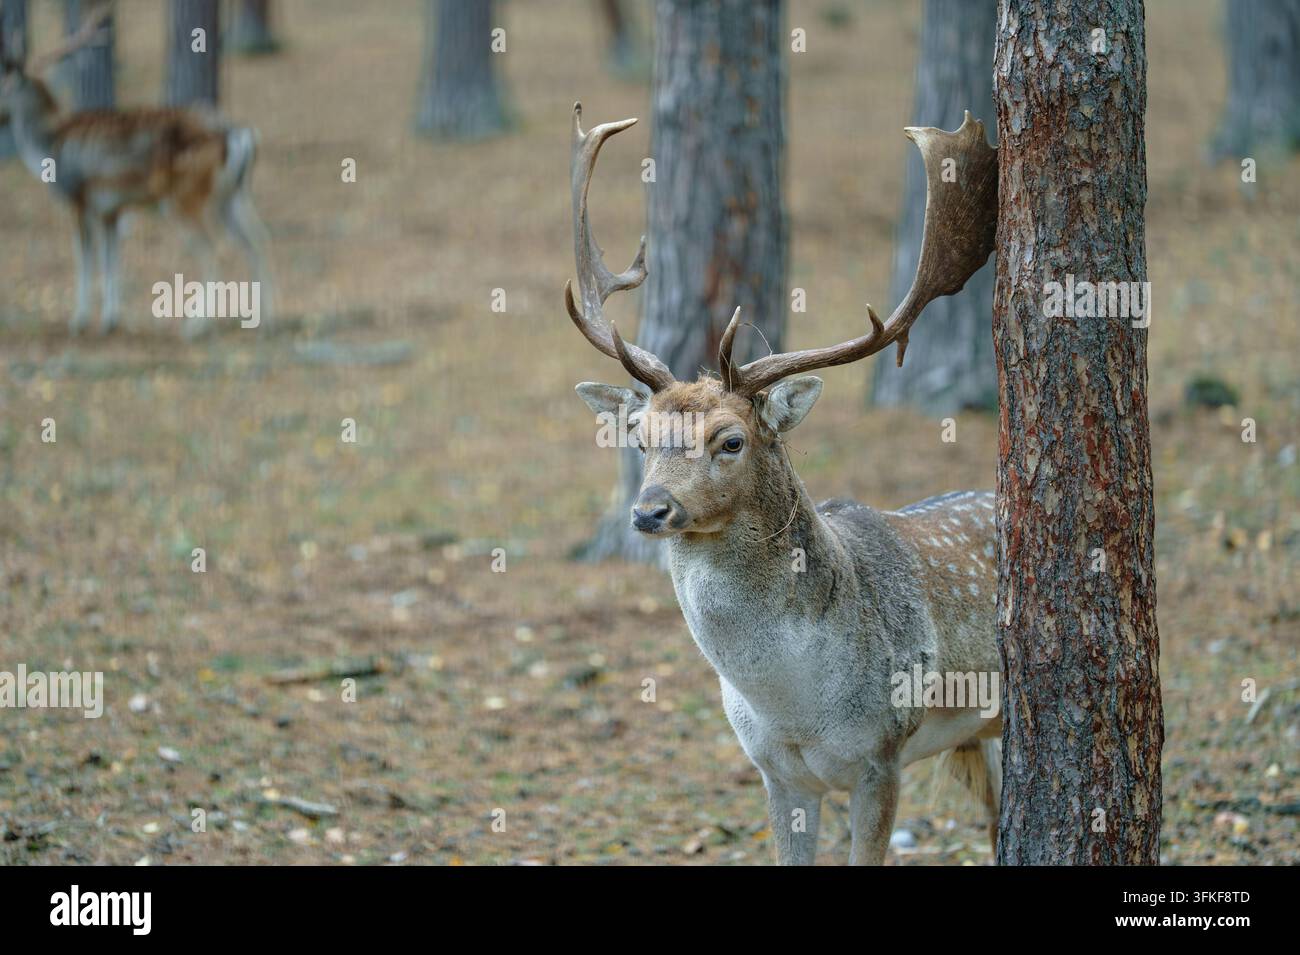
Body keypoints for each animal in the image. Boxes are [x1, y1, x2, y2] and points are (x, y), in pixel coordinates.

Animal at [0, 3, 272, 336]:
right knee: (257, 240)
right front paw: (110, 319)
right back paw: (265, 320)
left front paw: (79, 320)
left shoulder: (78, 196)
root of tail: (239, 134)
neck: (48, 146)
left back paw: (197, 325)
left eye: (0, 86)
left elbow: (85, 259)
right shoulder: (110, 210)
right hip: (232, 196)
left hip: (184, 197)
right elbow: (111, 260)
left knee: (214, 249)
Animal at [565, 103, 1001, 865]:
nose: (649, 511)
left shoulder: (882, 754)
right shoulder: (775, 769)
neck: (794, 705)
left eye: (731, 440)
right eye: (641, 438)